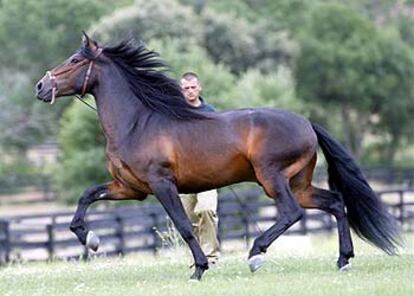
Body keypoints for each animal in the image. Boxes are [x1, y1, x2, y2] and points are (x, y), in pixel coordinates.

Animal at [35, 33, 402, 280]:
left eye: (75, 61)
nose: (40, 86)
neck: (137, 123)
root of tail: (307, 122)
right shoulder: (130, 188)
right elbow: (86, 198)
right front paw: (92, 239)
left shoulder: (161, 183)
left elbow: (184, 226)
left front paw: (199, 269)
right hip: (299, 183)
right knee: (336, 203)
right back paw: (343, 260)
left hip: (272, 178)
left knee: (291, 212)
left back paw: (256, 254)